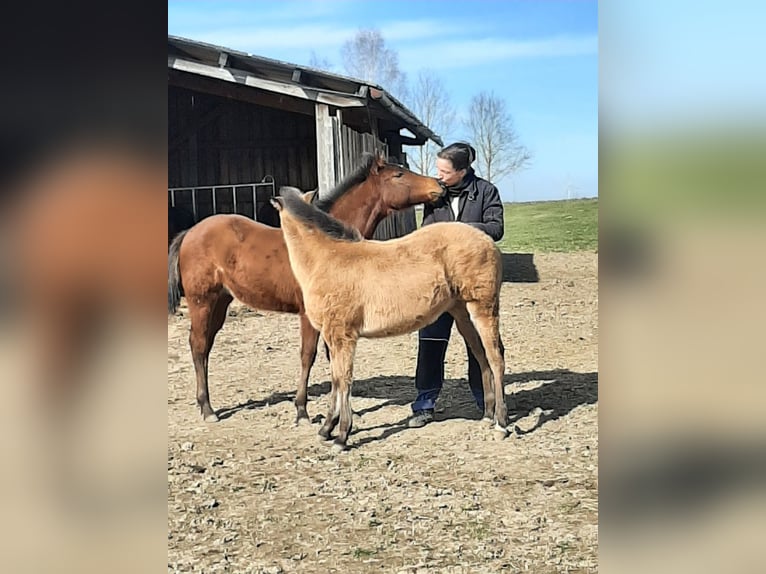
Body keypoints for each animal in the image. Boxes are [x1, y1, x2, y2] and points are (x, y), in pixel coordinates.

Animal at [168, 153, 444, 424]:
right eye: (398, 174)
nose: (439, 186)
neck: (323, 246)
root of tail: (190, 232)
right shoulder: (308, 315)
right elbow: (308, 355)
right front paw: (302, 411)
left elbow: (332, 358)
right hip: (202, 300)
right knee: (198, 344)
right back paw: (207, 409)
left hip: (221, 301)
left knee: (205, 344)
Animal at [270, 187, 510, 452]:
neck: (326, 258)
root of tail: (485, 239)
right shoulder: (332, 337)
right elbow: (335, 379)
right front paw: (326, 429)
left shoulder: (342, 335)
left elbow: (343, 379)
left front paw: (342, 435)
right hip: (462, 314)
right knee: (481, 356)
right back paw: (487, 416)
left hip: (483, 309)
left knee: (496, 358)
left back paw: (501, 423)